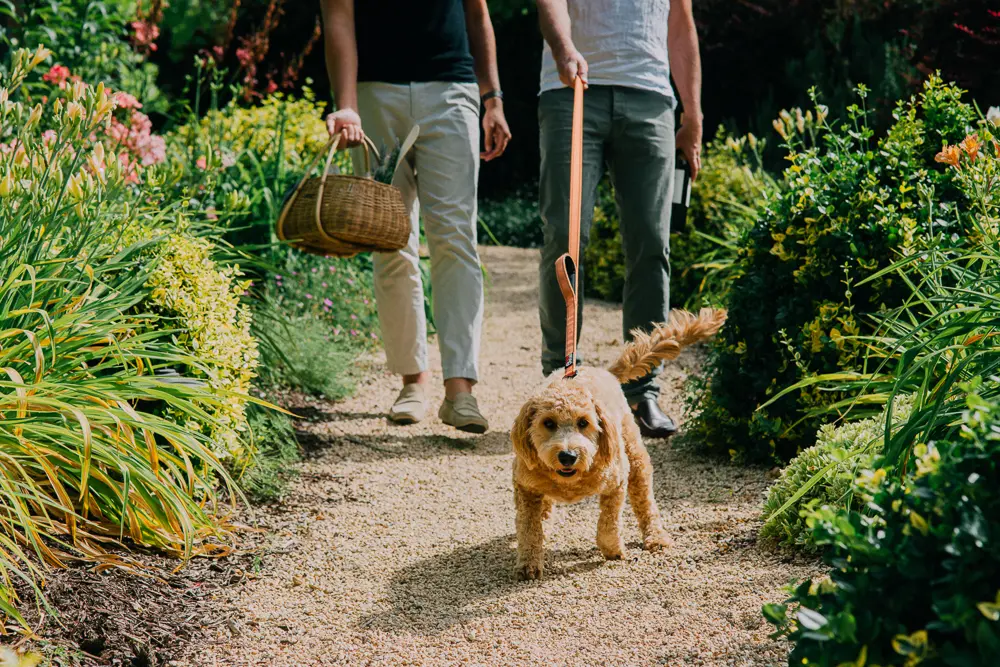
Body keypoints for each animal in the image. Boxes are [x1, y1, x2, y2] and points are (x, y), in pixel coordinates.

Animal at [512, 308, 724, 580]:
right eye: (547, 423)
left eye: (584, 422)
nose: (568, 456)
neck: (569, 481)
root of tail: (606, 372)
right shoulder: (525, 487)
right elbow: (529, 528)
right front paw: (528, 563)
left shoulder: (617, 482)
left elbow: (609, 523)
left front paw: (613, 550)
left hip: (636, 457)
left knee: (646, 502)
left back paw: (656, 536)